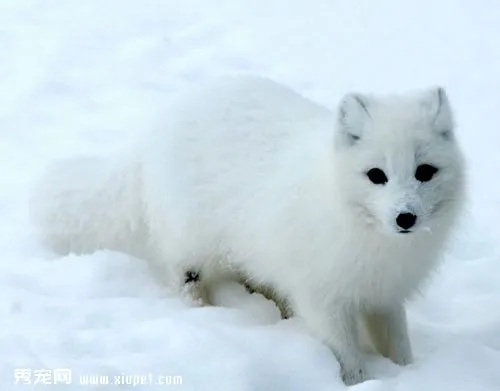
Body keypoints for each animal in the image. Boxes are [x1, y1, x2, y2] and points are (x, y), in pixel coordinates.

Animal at [30, 76, 464, 386]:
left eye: (425, 172)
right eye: (377, 175)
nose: (405, 217)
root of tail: (153, 130)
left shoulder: (385, 294)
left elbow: (398, 344)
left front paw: (409, 373)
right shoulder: (322, 295)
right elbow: (346, 353)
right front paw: (361, 381)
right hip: (192, 243)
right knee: (184, 277)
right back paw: (201, 311)